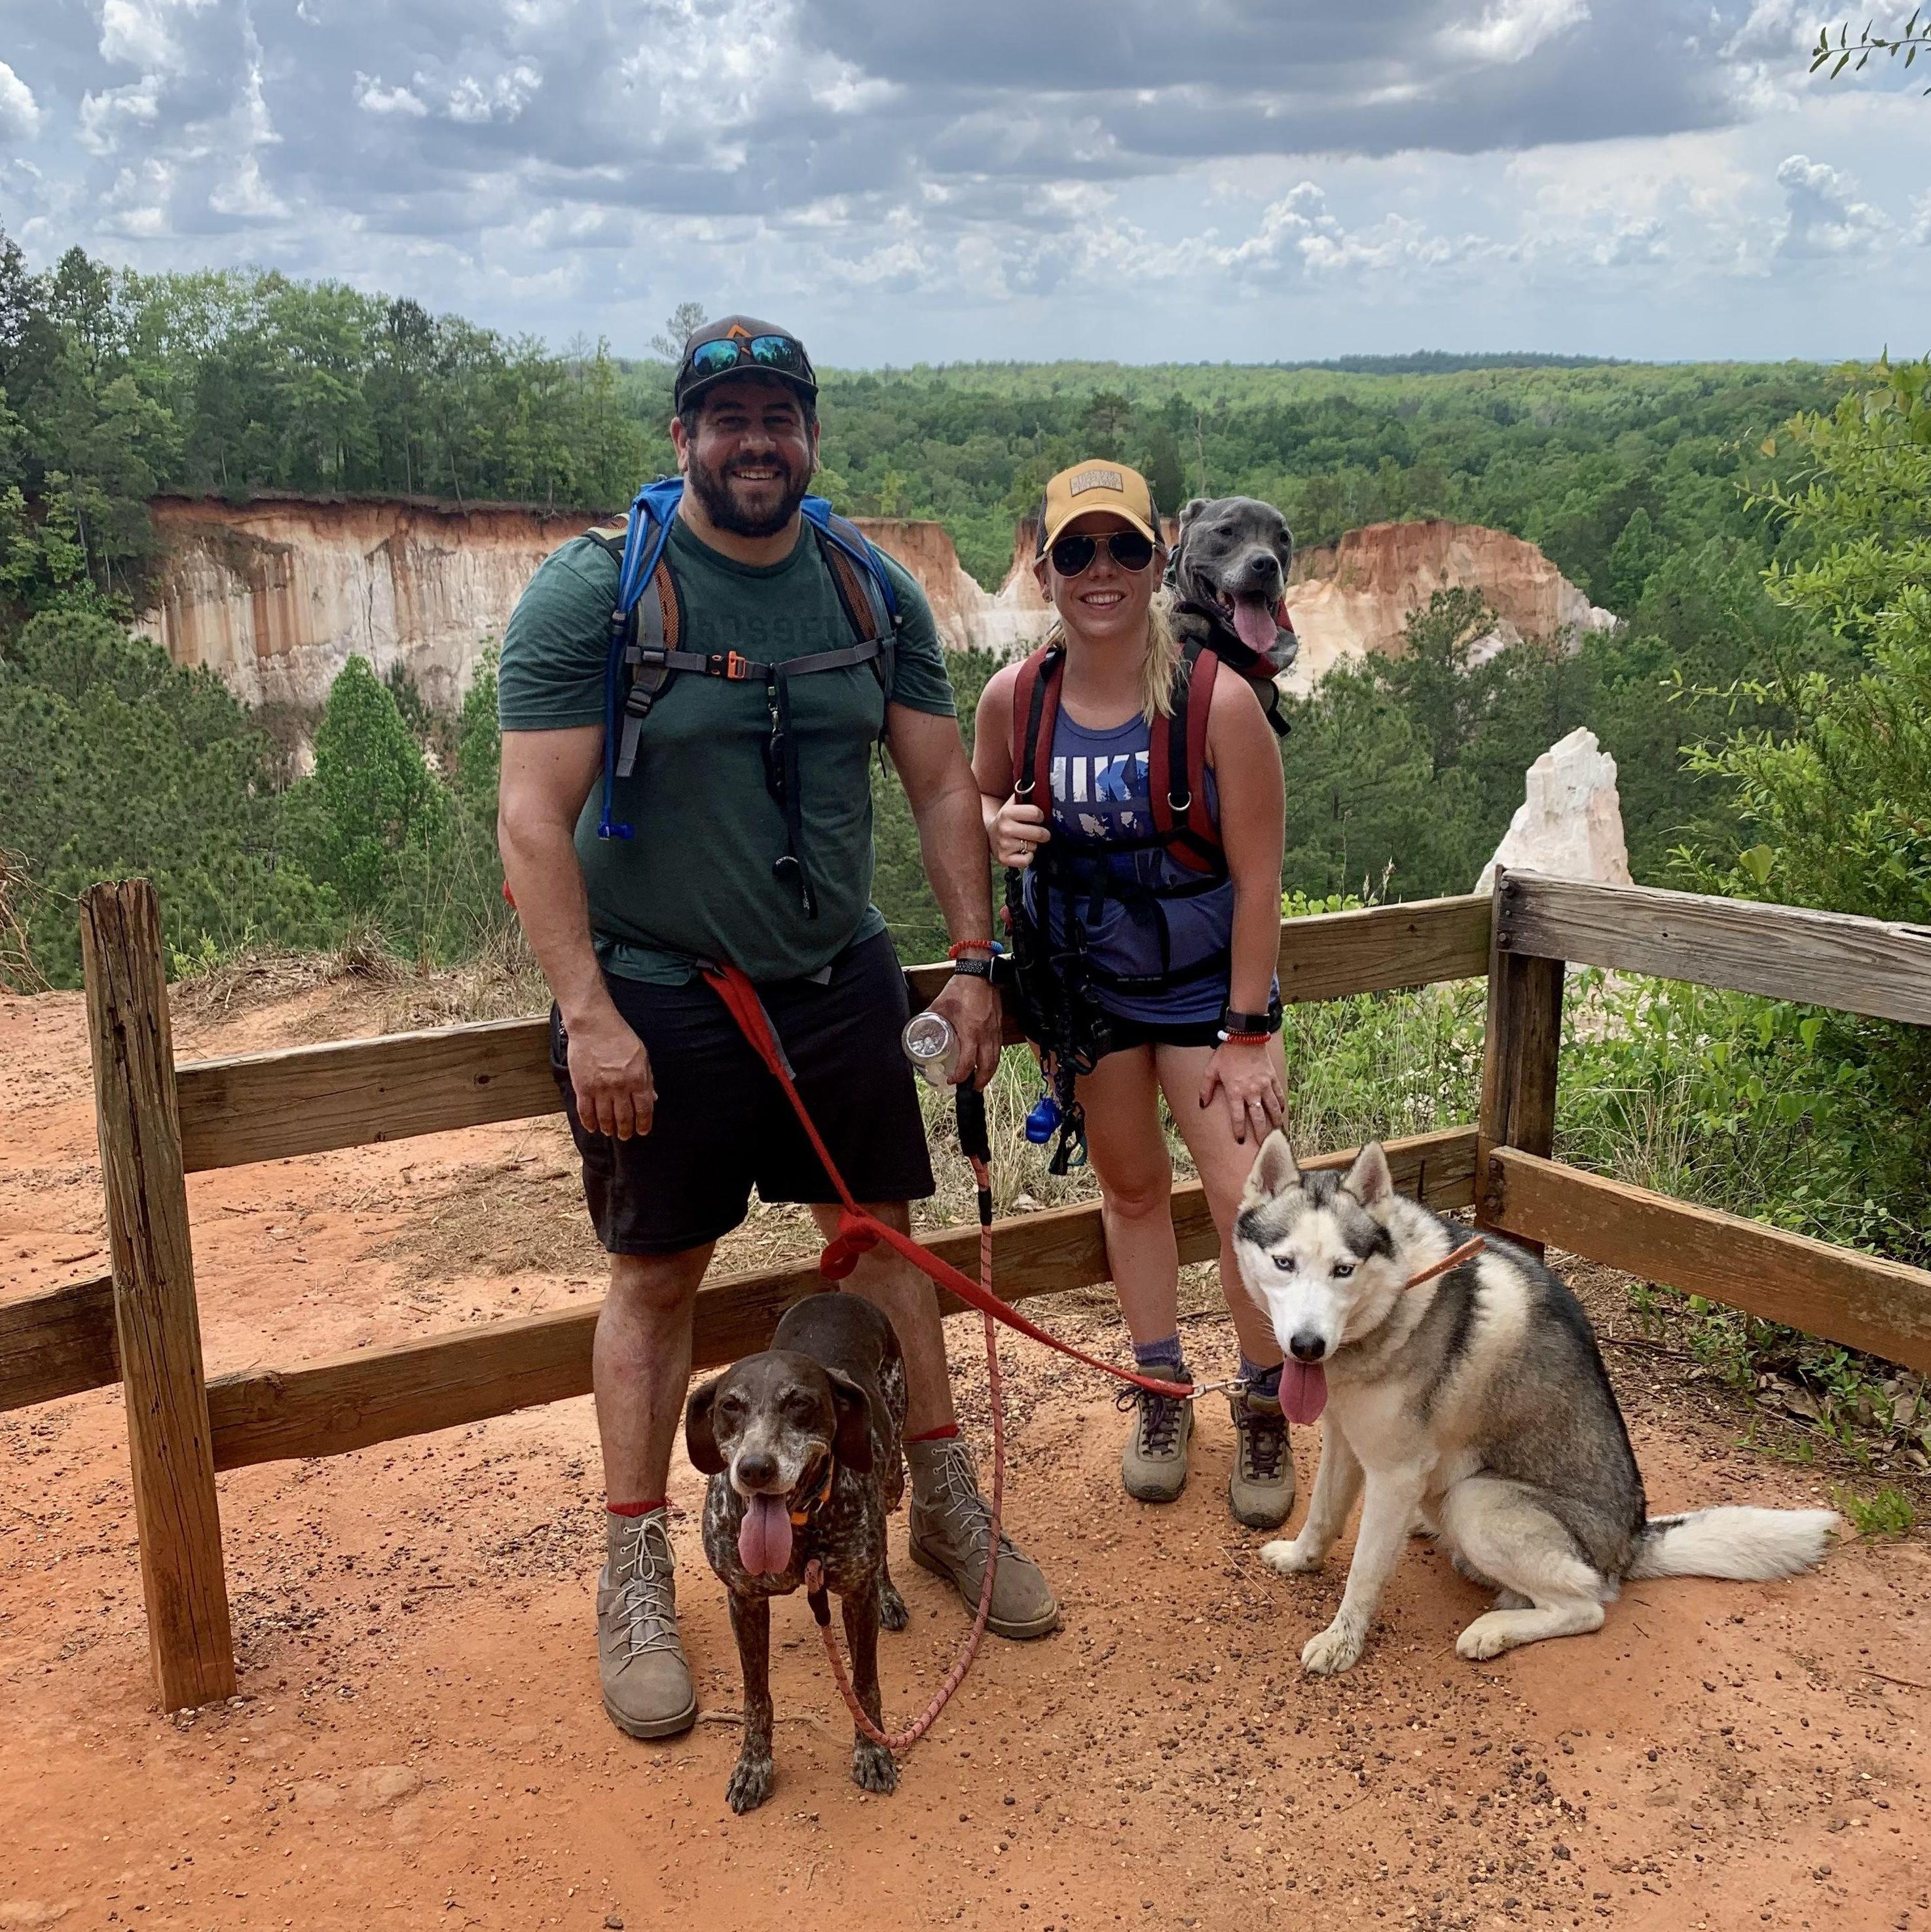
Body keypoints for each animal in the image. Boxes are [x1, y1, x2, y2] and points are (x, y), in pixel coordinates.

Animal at [687, 1298, 911, 1808]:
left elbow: (863, 1685)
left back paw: (889, 1593)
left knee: (883, 1545)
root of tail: (837, 1296)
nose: (754, 1469)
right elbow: (756, 1697)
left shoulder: (855, 1597)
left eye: (800, 1404)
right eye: (730, 1406)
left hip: (891, 1474)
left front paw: (872, 1751)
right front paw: (753, 1765)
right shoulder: (744, 1600)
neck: (800, 1525)